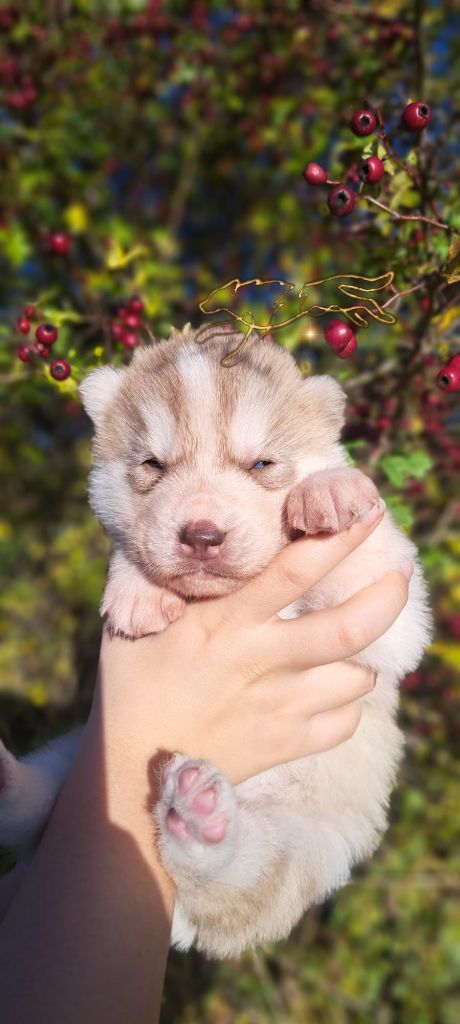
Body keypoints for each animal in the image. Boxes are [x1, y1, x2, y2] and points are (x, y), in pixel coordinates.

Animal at [0, 329, 430, 958]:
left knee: (235, 880)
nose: (201, 535)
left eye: (262, 463)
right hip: (83, 751)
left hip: (298, 845)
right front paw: (136, 587)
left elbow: (365, 556)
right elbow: (131, 545)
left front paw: (329, 490)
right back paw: (11, 781)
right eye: (153, 464)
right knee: (37, 809)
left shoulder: (395, 616)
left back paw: (201, 820)